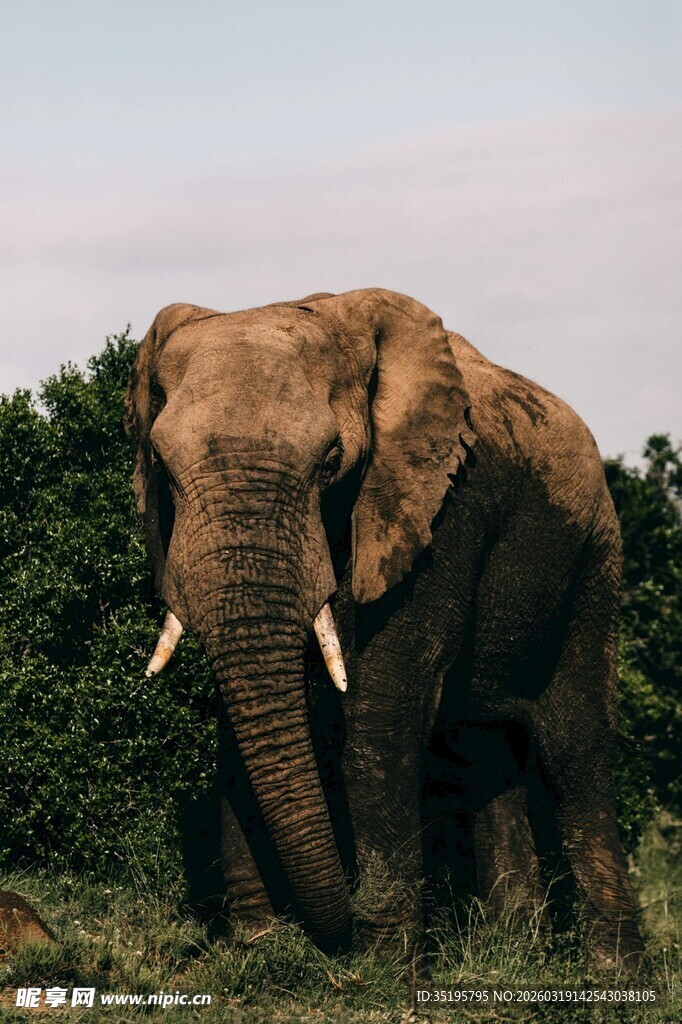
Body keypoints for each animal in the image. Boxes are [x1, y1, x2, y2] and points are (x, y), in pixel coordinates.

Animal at [125, 288, 644, 970]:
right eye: (161, 464)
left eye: (331, 461)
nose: (322, 938)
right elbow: (240, 722)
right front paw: (261, 950)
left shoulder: (445, 505)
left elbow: (380, 714)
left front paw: (381, 969)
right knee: (485, 752)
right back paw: (514, 954)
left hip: (594, 558)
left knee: (575, 750)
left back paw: (615, 975)